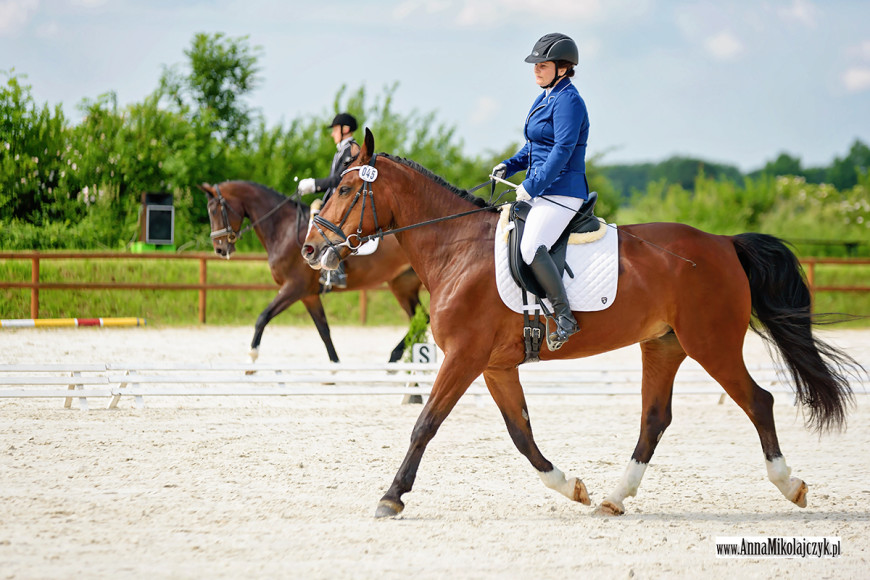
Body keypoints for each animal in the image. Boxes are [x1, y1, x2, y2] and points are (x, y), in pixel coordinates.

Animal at [201, 181, 426, 362]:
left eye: (215, 211)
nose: (220, 249)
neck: (284, 230)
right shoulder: (308, 295)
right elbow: (324, 330)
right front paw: (334, 369)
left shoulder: (294, 287)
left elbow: (262, 317)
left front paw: (252, 357)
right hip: (402, 285)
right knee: (421, 319)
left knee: (423, 319)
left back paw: (395, 358)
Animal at [304, 130, 860, 516]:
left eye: (348, 188)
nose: (310, 250)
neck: (456, 249)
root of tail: (724, 243)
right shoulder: (494, 366)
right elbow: (521, 434)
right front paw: (571, 487)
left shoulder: (463, 357)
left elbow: (425, 424)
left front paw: (391, 497)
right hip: (664, 345)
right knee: (655, 419)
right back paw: (614, 498)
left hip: (712, 343)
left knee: (758, 401)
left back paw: (791, 486)